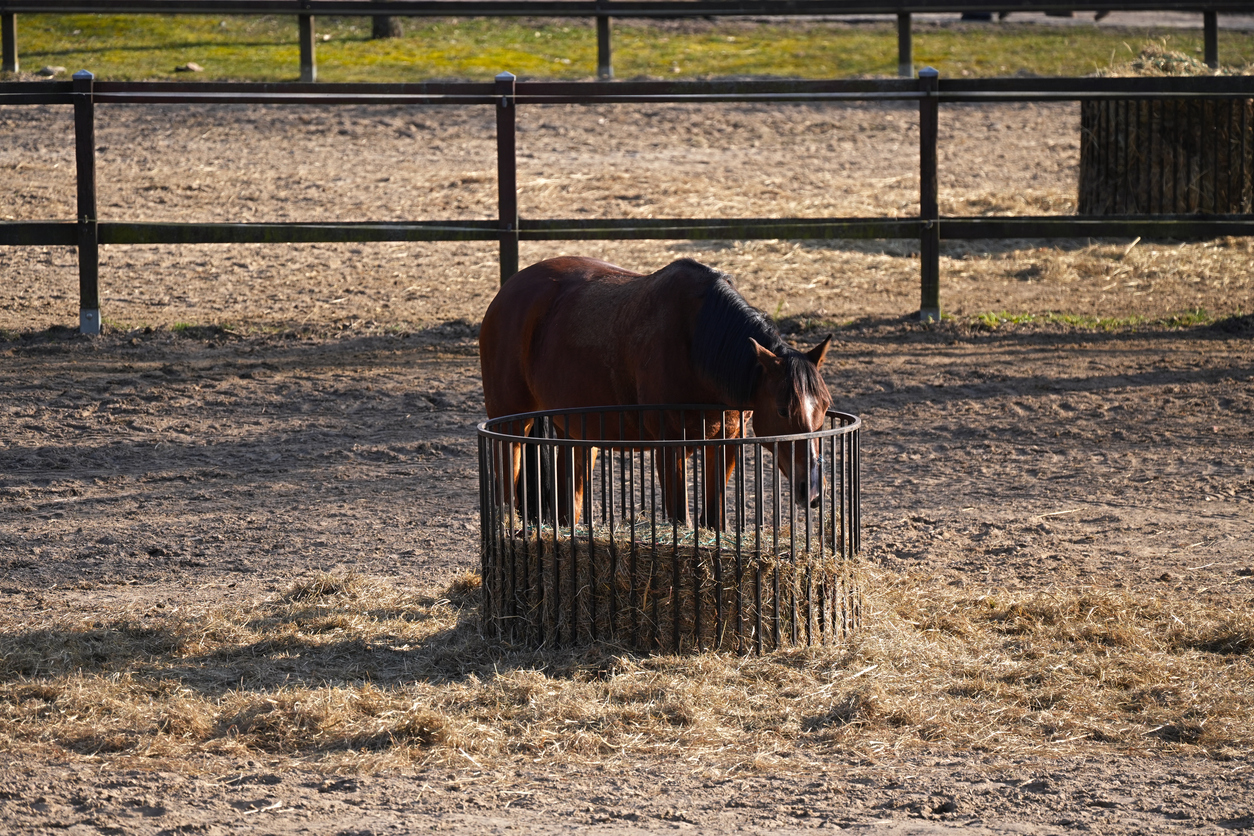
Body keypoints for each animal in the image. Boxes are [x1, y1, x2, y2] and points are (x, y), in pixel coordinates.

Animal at [479, 256, 833, 528]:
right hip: (511, 425)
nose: (812, 490)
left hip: (576, 432)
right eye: (783, 409)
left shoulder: (727, 442)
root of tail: (507, 291)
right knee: (506, 487)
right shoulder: (670, 448)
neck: (697, 344)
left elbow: (714, 520)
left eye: (825, 408)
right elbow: (681, 519)